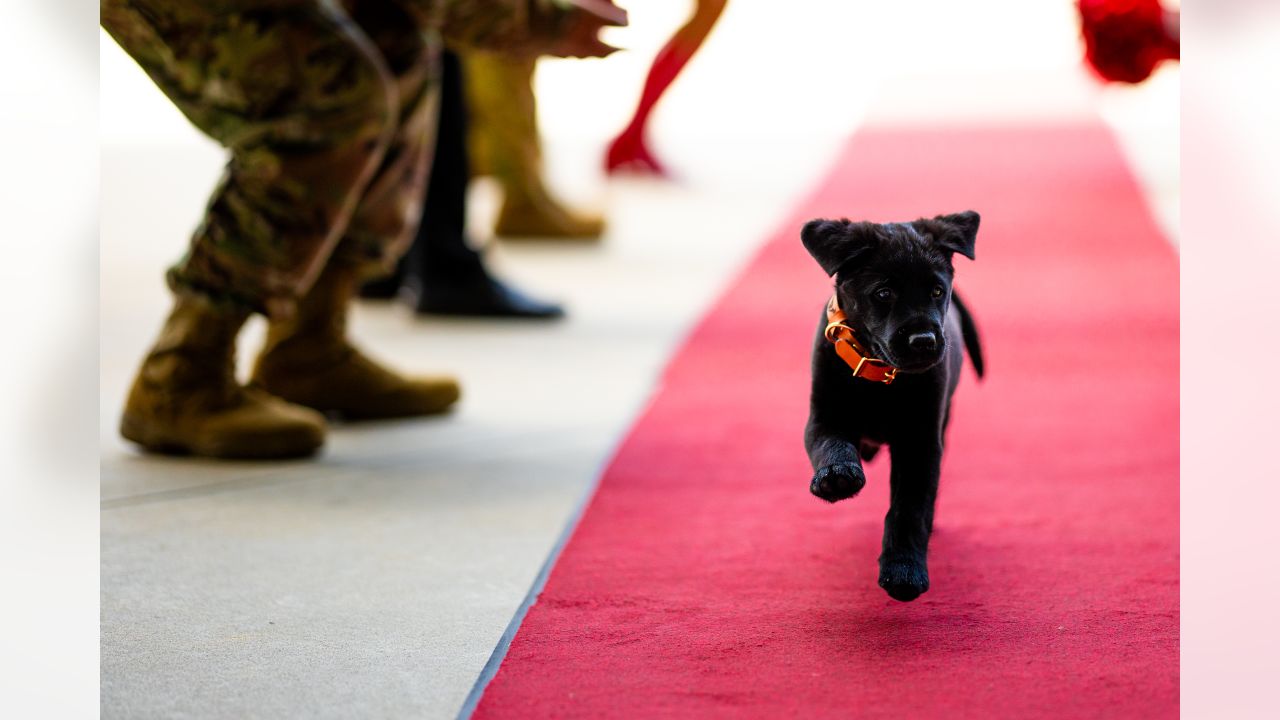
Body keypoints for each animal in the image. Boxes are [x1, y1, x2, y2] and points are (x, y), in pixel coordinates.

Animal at [803, 211, 983, 599]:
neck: (880, 375)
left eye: (937, 291)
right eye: (883, 293)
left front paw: (904, 570)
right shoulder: (823, 416)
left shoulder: (921, 441)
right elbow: (831, 445)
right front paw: (837, 477)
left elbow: (910, 507)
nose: (924, 340)